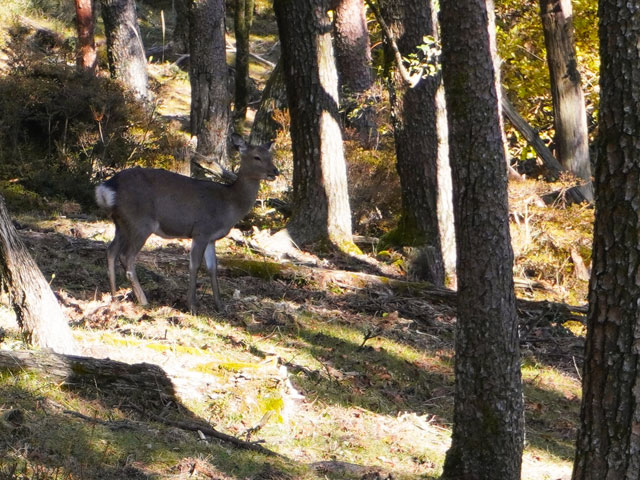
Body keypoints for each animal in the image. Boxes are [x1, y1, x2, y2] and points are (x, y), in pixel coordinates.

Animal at [94, 134, 278, 316]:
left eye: (271, 156)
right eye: (257, 157)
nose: (275, 171)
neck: (230, 204)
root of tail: (105, 188)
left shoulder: (211, 238)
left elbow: (213, 268)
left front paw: (220, 306)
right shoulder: (201, 230)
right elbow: (194, 265)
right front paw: (192, 306)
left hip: (121, 223)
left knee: (110, 251)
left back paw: (114, 298)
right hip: (141, 222)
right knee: (126, 256)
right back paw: (143, 301)